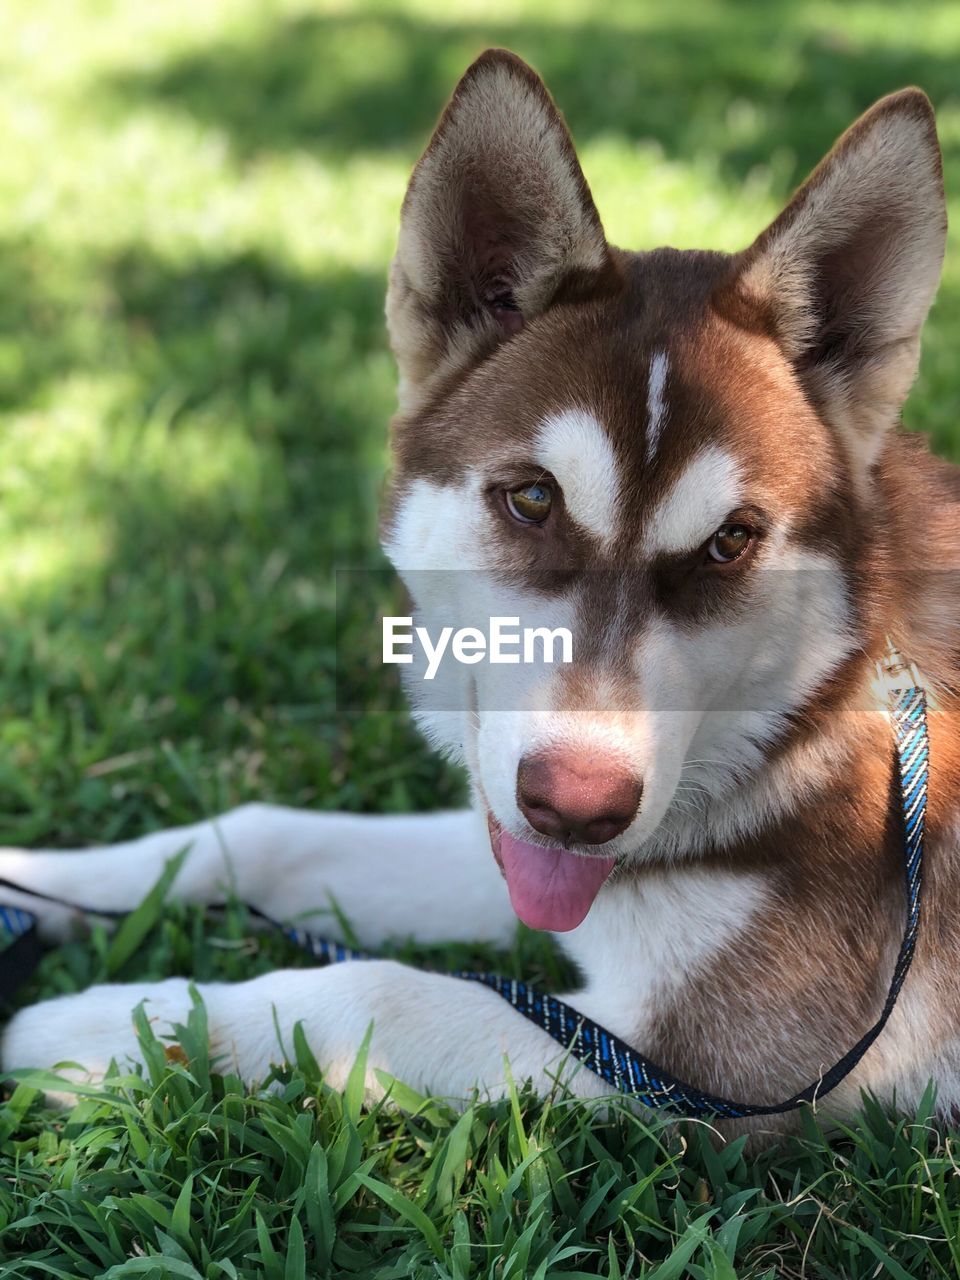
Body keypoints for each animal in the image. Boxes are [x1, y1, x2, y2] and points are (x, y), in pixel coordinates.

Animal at [1, 47, 960, 1141]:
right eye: (533, 498)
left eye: (730, 542)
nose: (580, 810)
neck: (813, 716)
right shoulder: (521, 829)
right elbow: (263, 830)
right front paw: (39, 882)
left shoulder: (727, 1060)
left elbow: (376, 990)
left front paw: (115, 1023)